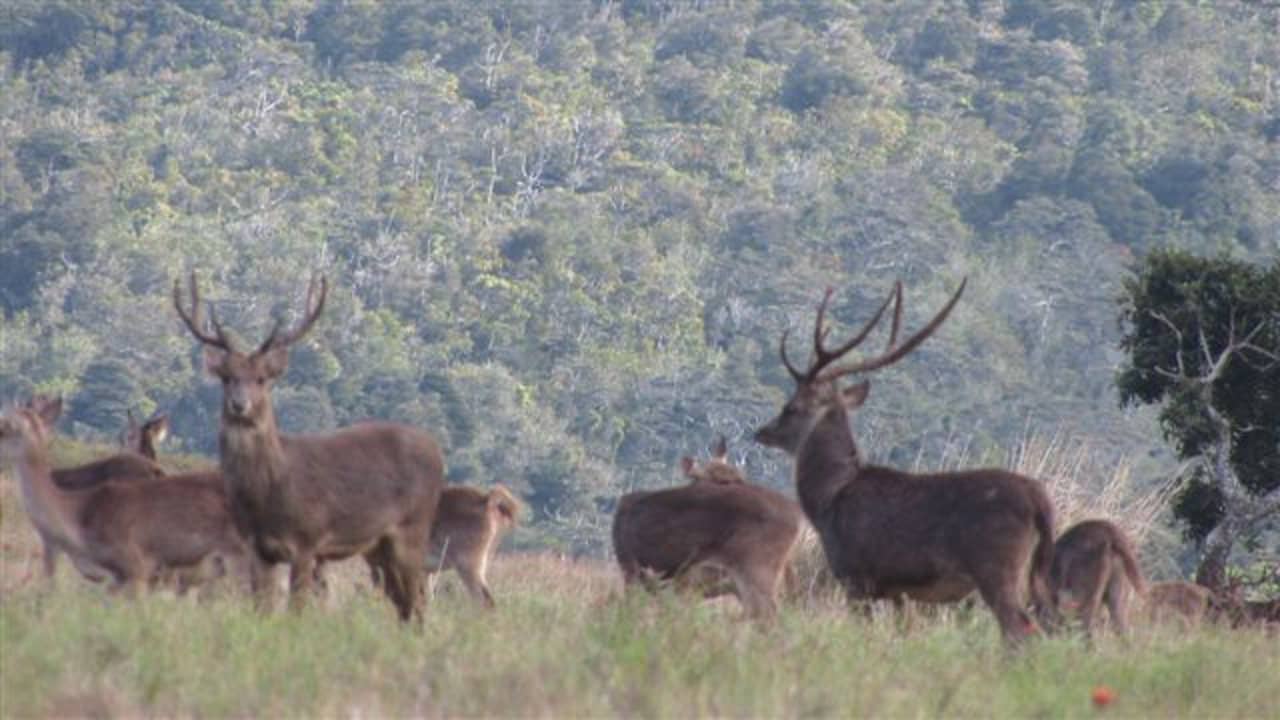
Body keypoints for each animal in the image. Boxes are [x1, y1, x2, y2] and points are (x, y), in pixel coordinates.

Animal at [172, 272, 445, 621]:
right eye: (227, 377)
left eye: (261, 378)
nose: (239, 404)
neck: (270, 492)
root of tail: (437, 450)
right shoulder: (257, 547)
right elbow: (261, 607)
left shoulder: (307, 539)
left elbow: (297, 608)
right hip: (378, 546)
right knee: (404, 604)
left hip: (413, 526)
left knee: (419, 601)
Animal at [753, 279, 1057, 644]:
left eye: (791, 408)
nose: (761, 431)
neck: (829, 501)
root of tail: (1038, 499)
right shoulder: (898, 592)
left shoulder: (856, 577)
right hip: (1033, 573)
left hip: (996, 566)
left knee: (1020, 628)